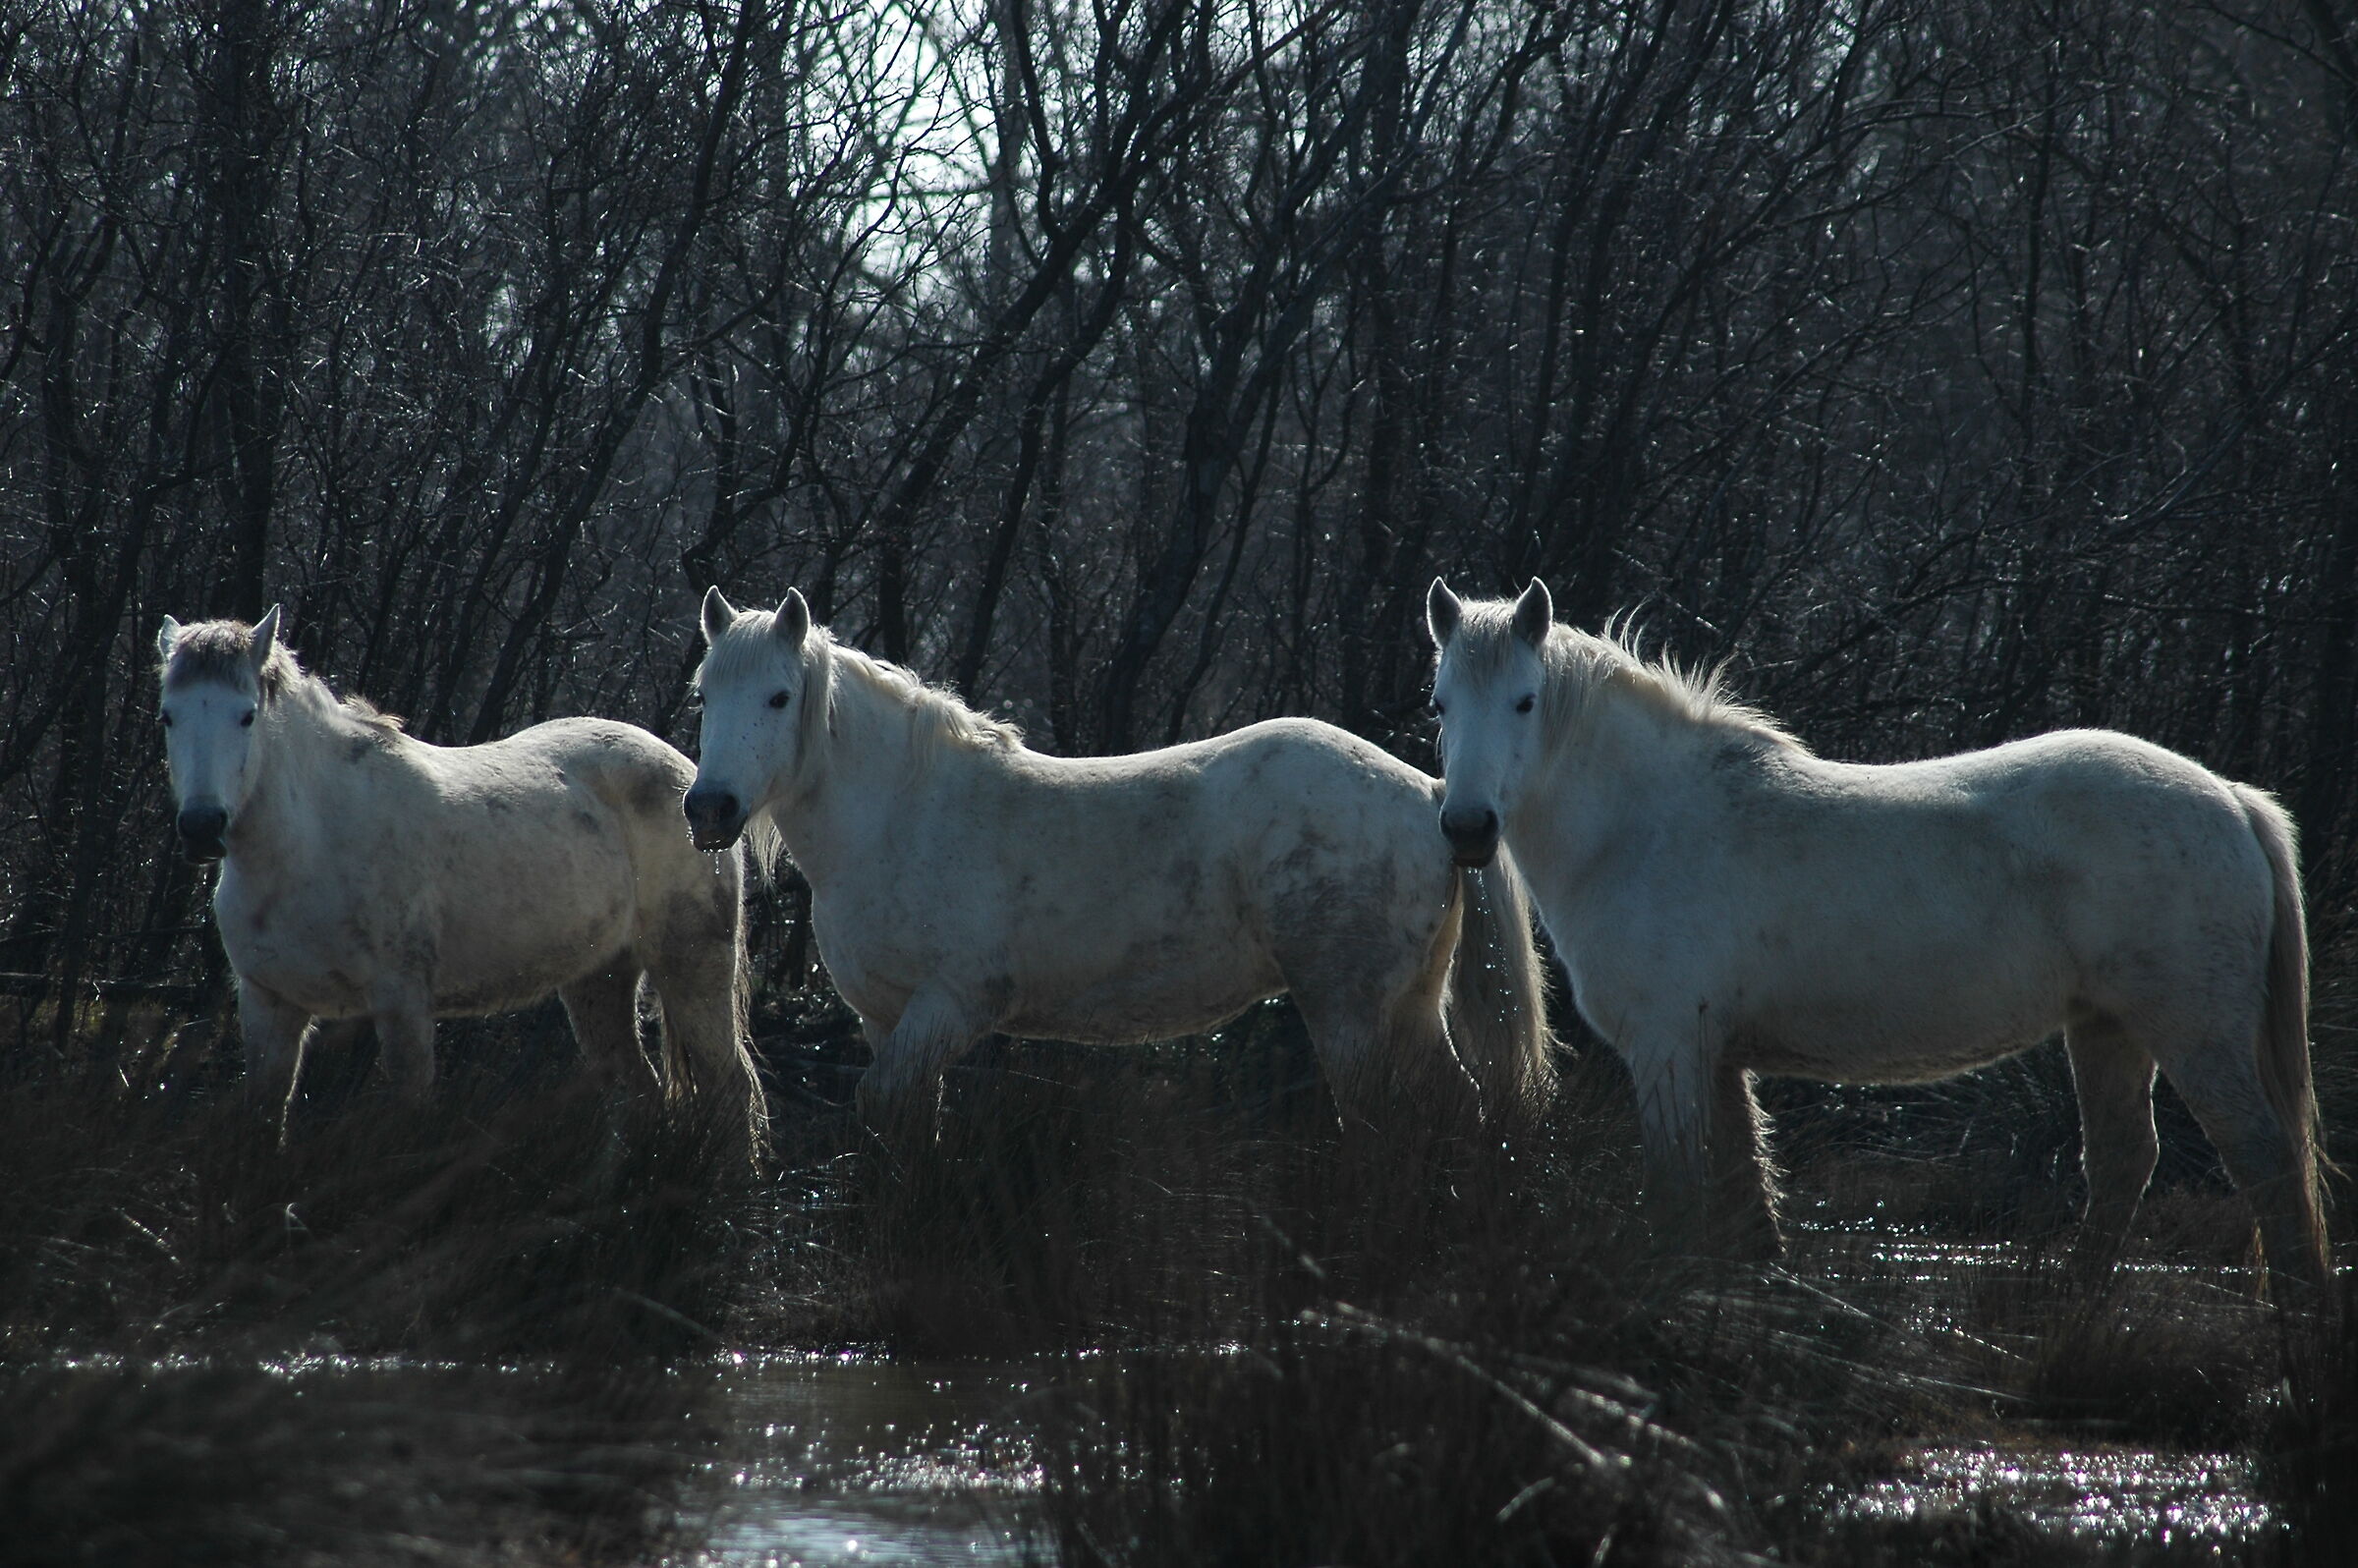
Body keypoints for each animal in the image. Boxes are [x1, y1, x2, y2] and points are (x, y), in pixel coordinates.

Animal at [155, 607, 763, 1152]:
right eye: (167, 716)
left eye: (247, 715)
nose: (203, 827)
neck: (313, 842)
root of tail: (693, 783)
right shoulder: (269, 1005)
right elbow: (264, 1123)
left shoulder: (402, 1005)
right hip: (600, 978)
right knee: (636, 1091)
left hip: (691, 966)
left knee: (730, 1089)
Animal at [681, 586, 1554, 1148]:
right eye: (704, 694)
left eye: (779, 697)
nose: (710, 808)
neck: (901, 815)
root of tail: (1432, 796)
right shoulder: (885, 1019)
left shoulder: (949, 1007)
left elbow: (884, 1104)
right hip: (1408, 1008)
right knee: (1459, 1110)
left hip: (1349, 1014)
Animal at [1424, 579, 2330, 1291]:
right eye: (1440, 703)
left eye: (1525, 701)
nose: (1466, 829)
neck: (1647, 824)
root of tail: (2230, 799)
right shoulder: (1717, 1058)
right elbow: (1748, 1212)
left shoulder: (1669, 1049)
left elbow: (1681, 1195)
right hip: (2108, 1028)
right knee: (2122, 1165)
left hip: (2193, 1033)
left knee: (2265, 1164)